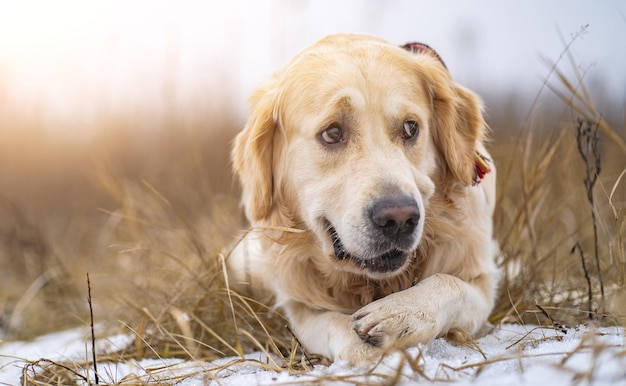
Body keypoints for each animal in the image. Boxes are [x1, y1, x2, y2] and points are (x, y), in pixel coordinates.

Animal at [228, 33, 498, 364]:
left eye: (411, 128)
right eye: (332, 133)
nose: (399, 219)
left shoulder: (480, 281)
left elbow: (449, 283)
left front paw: (402, 313)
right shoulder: (298, 303)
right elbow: (329, 321)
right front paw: (364, 351)